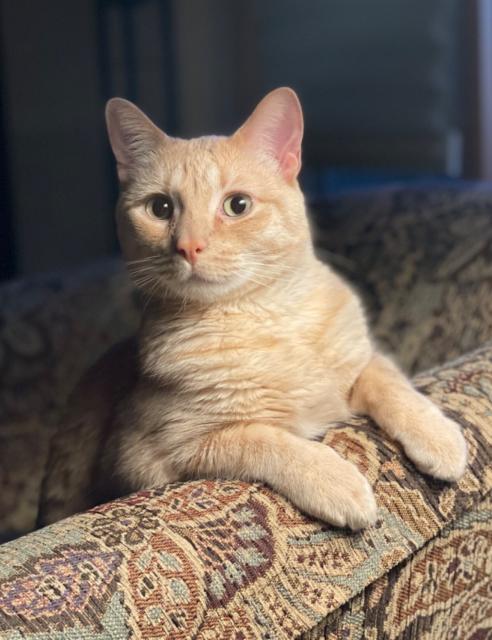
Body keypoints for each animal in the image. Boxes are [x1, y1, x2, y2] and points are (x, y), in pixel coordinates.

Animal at [37, 89, 466, 528]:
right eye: (160, 208)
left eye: (237, 205)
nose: (188, 246)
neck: (262, 320)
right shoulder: (151, 457)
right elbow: (262, 438)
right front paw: (334, 479)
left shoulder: (361, 359)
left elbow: (388, 380)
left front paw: (438, 435)